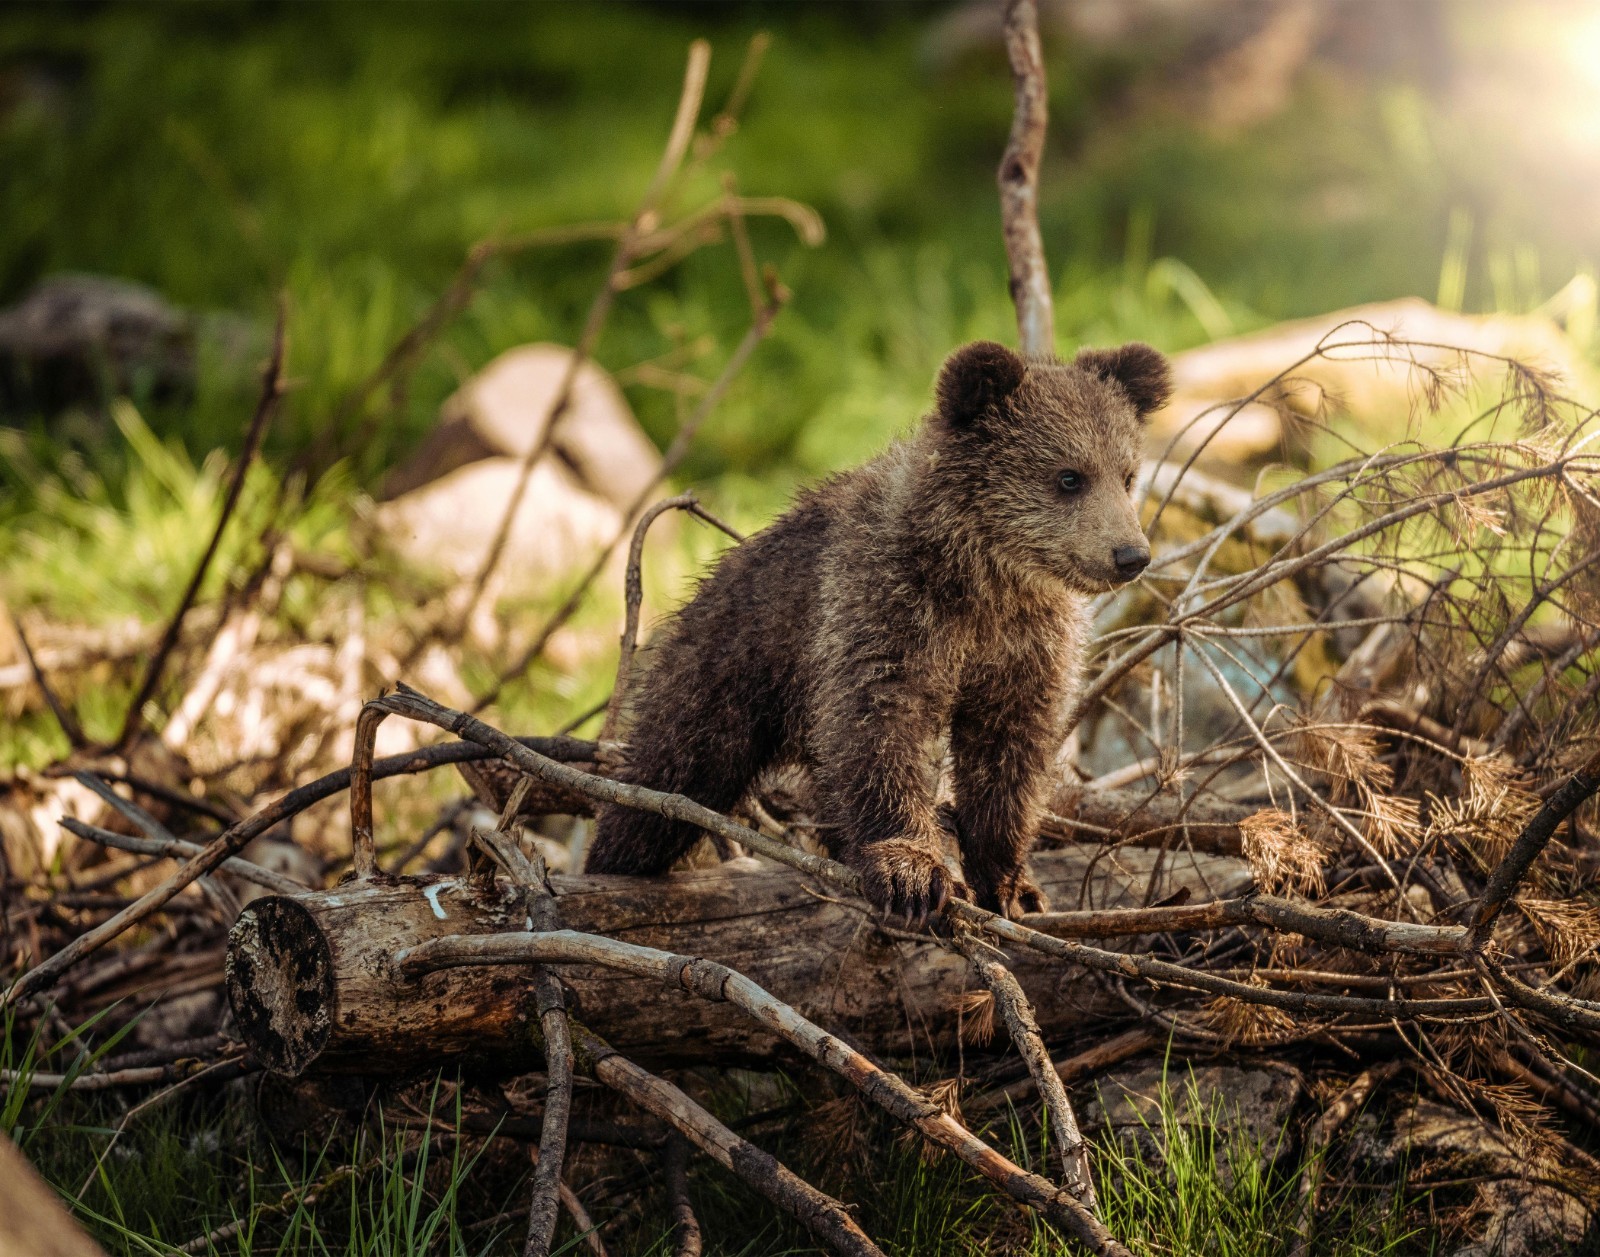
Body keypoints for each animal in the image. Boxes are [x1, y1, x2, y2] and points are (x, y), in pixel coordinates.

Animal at [584, 339, 1172, 920]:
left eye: (1127, 474)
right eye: (1069, 476)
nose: (1131, 555)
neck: (984, 579)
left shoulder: (1025, 644)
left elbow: (1009, 751)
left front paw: (1011, 884)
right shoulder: (884, 607)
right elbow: (880, 726)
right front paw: (912, 872)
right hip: (725, 671)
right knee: (666, 778)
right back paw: (613, 861)